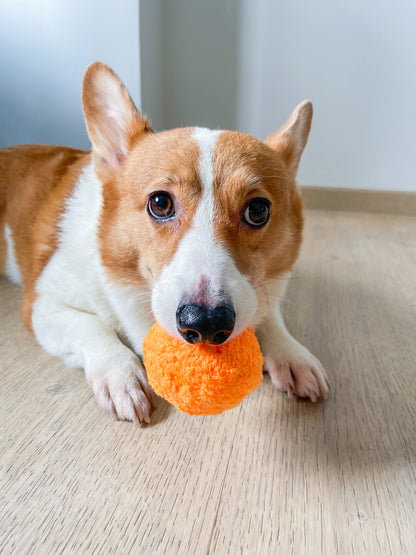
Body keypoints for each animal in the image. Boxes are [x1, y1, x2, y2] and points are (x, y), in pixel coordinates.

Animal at [0, 62, 328, 422]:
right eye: (159, 203)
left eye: (258, 210)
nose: (206, 324)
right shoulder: (42, 303)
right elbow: (92, 327)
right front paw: (122, 376)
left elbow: (270, 315)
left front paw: (291, 354)